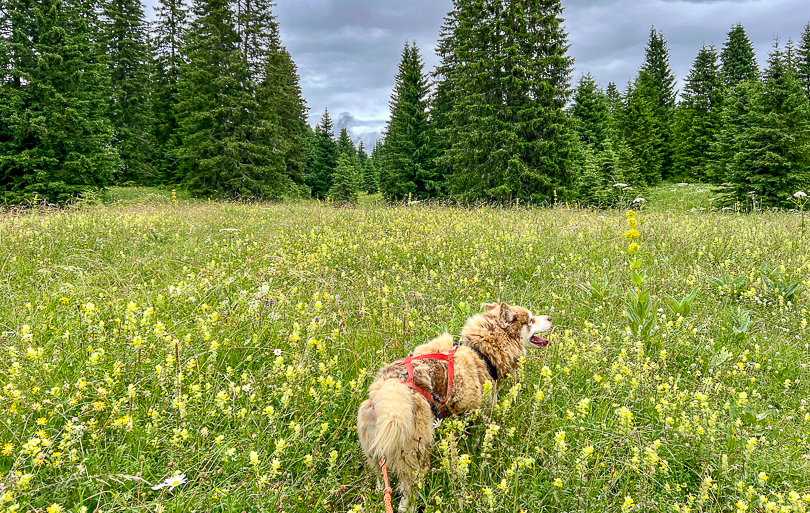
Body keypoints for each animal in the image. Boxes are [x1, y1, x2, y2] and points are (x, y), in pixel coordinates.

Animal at [356, 302, 552, 510]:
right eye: (530, 320)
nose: (549, 317)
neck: (481, 352)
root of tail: (387, 385)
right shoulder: (479, 411)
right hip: (415, 453)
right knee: (407, 493)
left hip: (374, 450)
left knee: (380, 477)